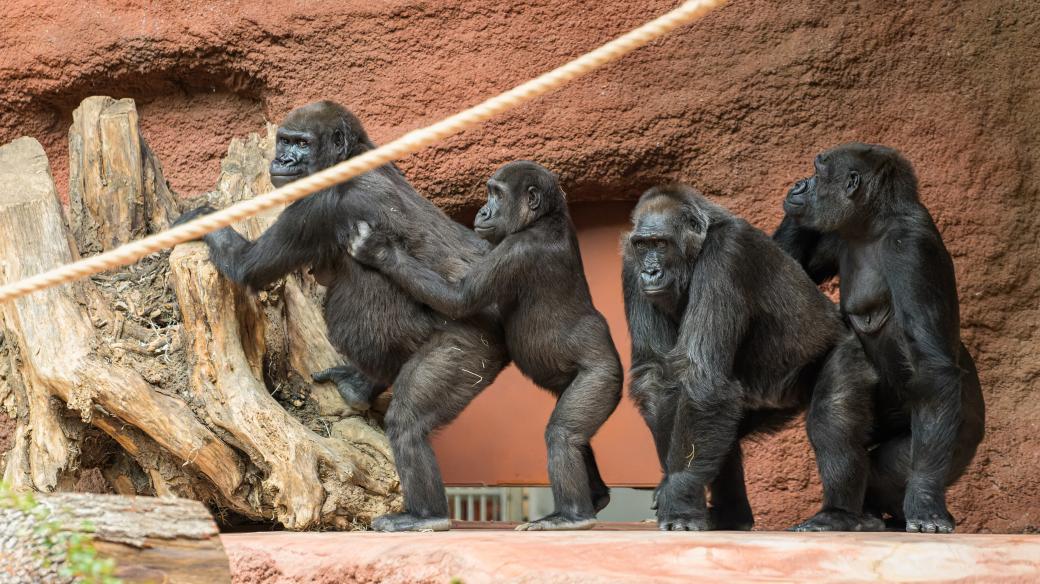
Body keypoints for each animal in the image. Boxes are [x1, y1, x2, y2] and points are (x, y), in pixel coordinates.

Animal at [174, 101, 507, 532]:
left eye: (302, 144)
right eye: (285, 141)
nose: (283, 159)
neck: (348, 158)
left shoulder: (319, 204)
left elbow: (247, 266)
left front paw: (198, 219)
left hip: (468, 352)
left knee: (408, 412)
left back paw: (426, 515)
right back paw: (364, 385)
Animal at [349, 161, 624, 529]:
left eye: (497, 194)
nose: (483, 210)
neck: (544, 218)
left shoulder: (517, 250)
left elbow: (460, 299)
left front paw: (380, 251)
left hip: (603, 377)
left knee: (564, 433)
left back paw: (571, 516)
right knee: (578, 435)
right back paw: (596, 497)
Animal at [619, 183, 881, 529]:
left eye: (661, 244)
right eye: (642, 245)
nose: (650, 271)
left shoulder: (726, 255)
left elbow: (703, 379)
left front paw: (678, 498)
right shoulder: (629, 266)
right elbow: (658, 378)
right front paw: (670, 484)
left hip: (845, 348)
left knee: (832, 418)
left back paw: (837, 514)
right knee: (718, 428)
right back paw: (734, 515)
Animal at [777, 142, 985, 532]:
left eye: (818, 172)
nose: (799, 184)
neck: (872, 224)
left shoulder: (910, 249)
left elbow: (932, 365)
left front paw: (925, 499)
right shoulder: (836, 236)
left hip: (962, 436)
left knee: (894, 464)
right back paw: (854, 514)